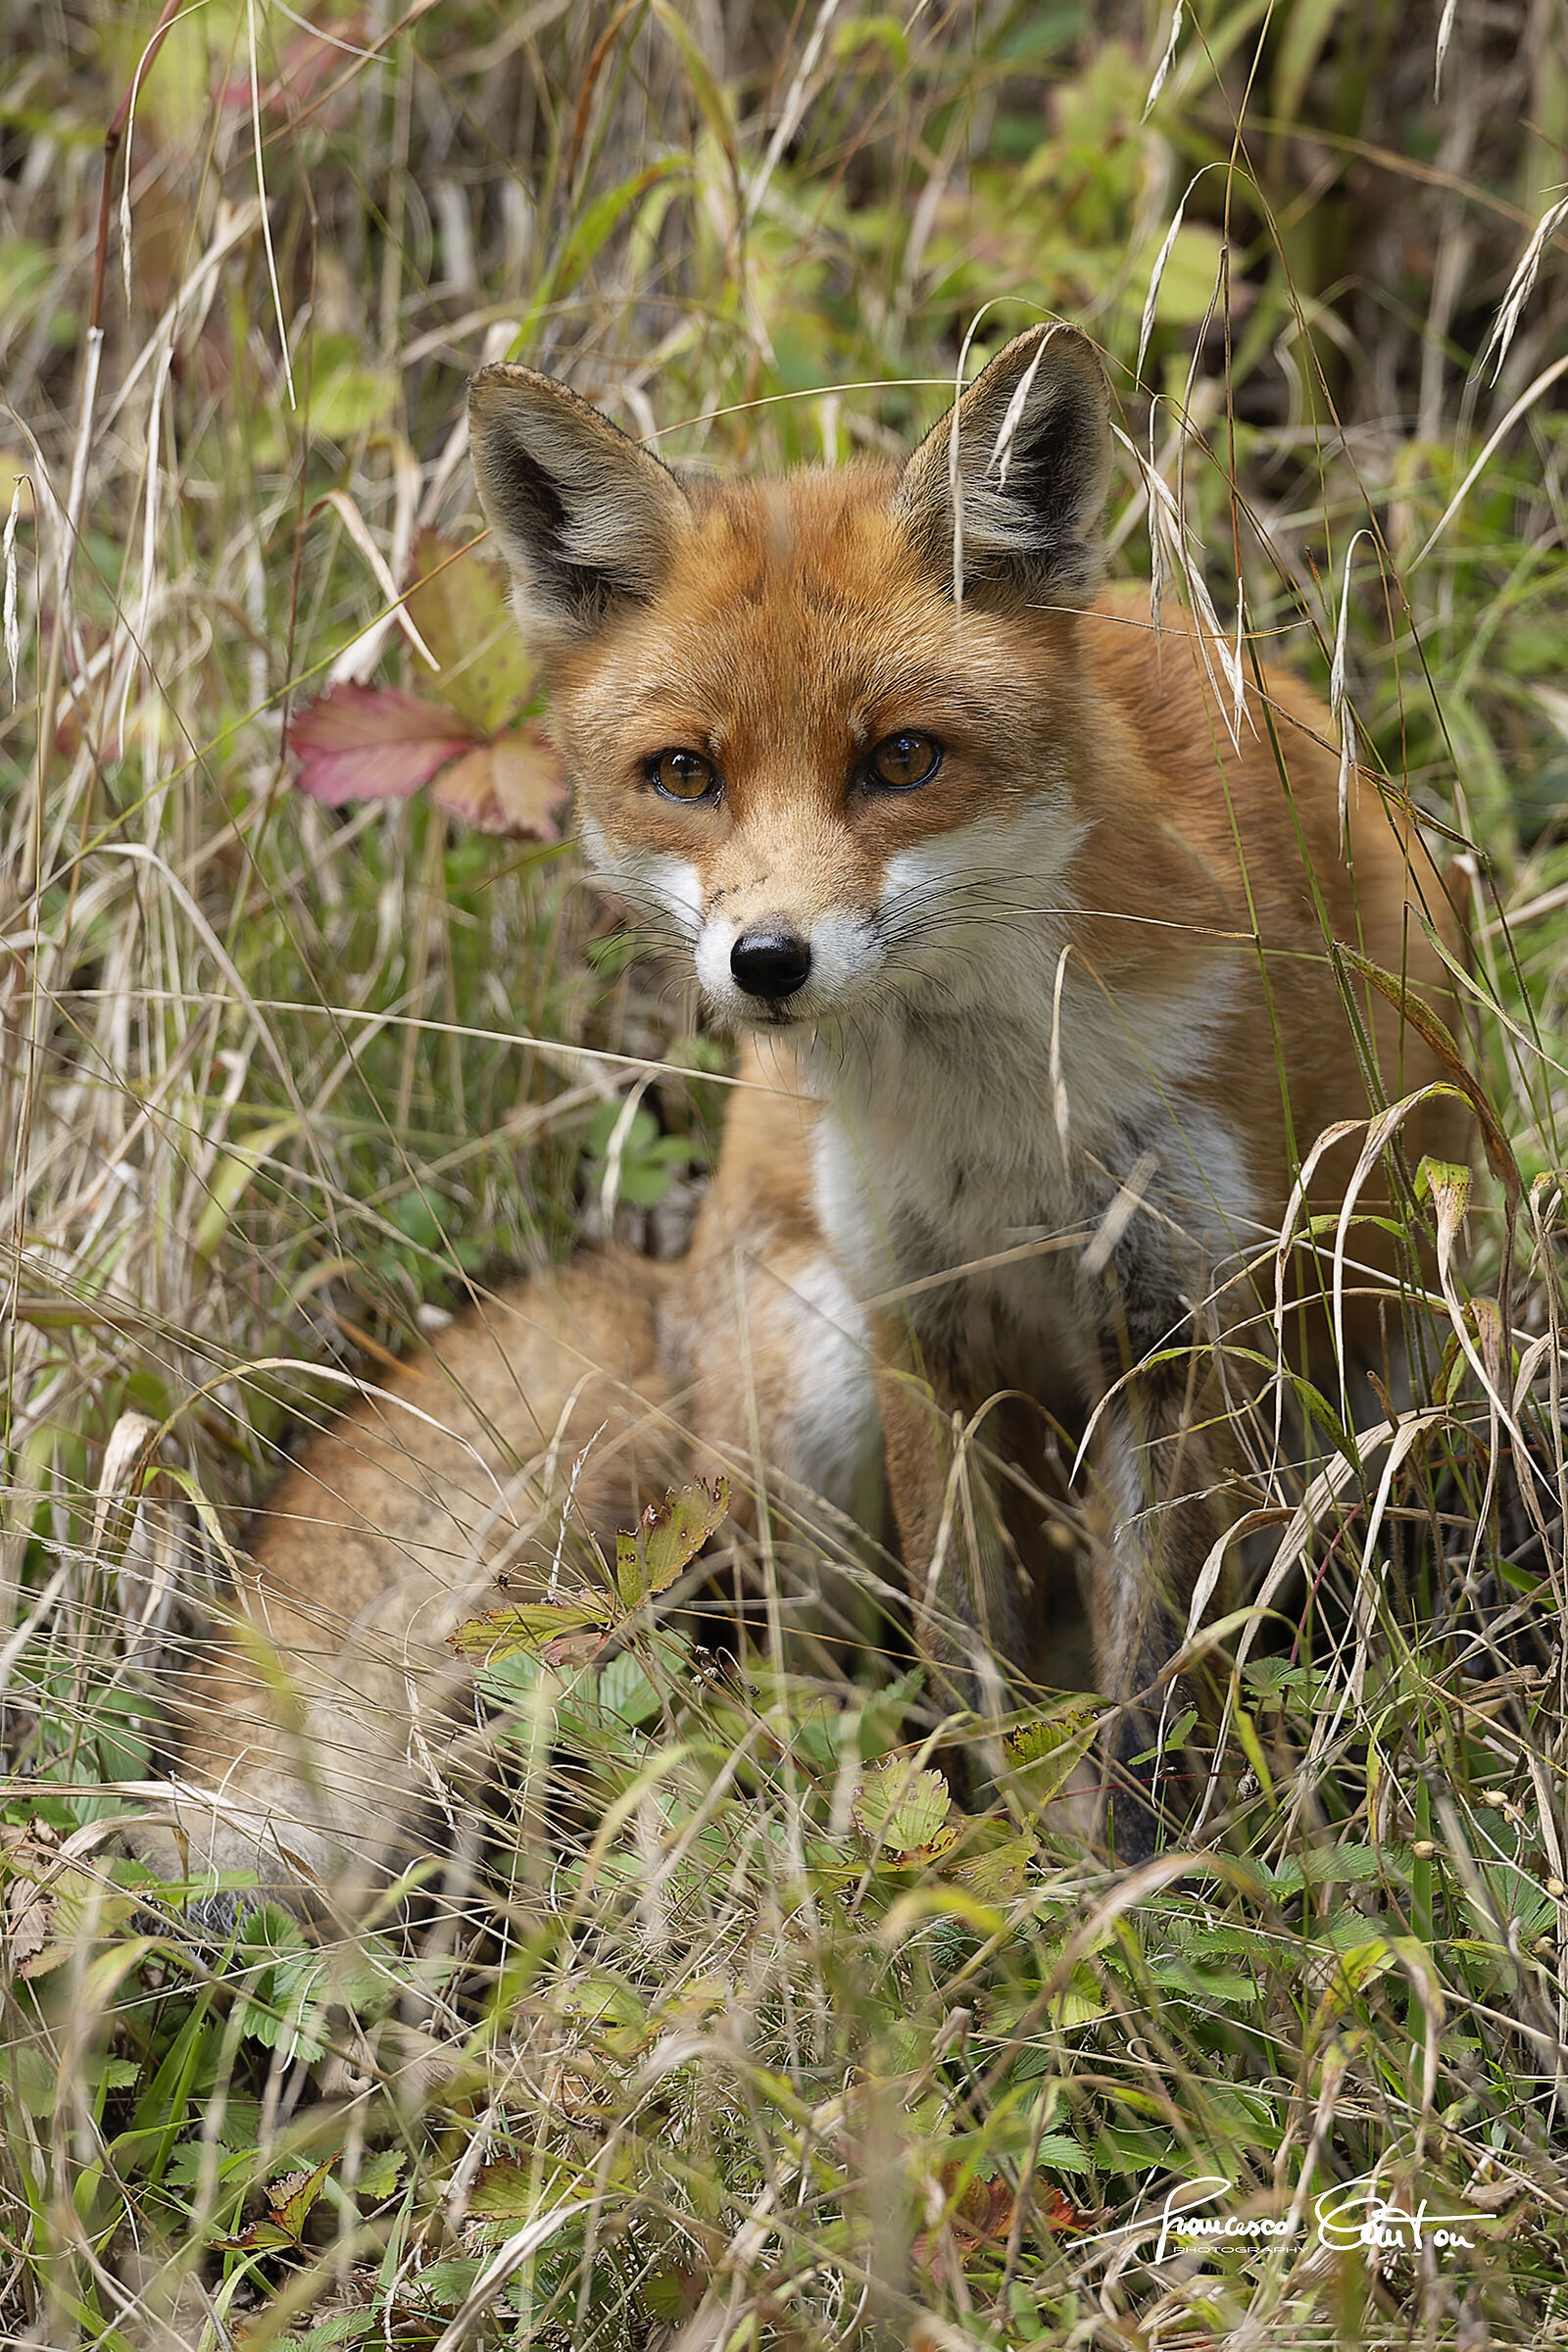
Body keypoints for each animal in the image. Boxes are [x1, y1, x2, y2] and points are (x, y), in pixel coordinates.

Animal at [134, 323, 1464, 1909]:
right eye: (685, 775)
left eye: (902, 760)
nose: (767, 960)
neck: (995, 1121)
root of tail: (670, 1285)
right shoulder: (916, 1323)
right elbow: (965, 1660)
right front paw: (986, 1866)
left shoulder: (1179, 1324)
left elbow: (1150, 1693)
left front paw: (1131, 1902)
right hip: (808, 1392)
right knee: (801, 1673)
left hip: (1373, 1389)